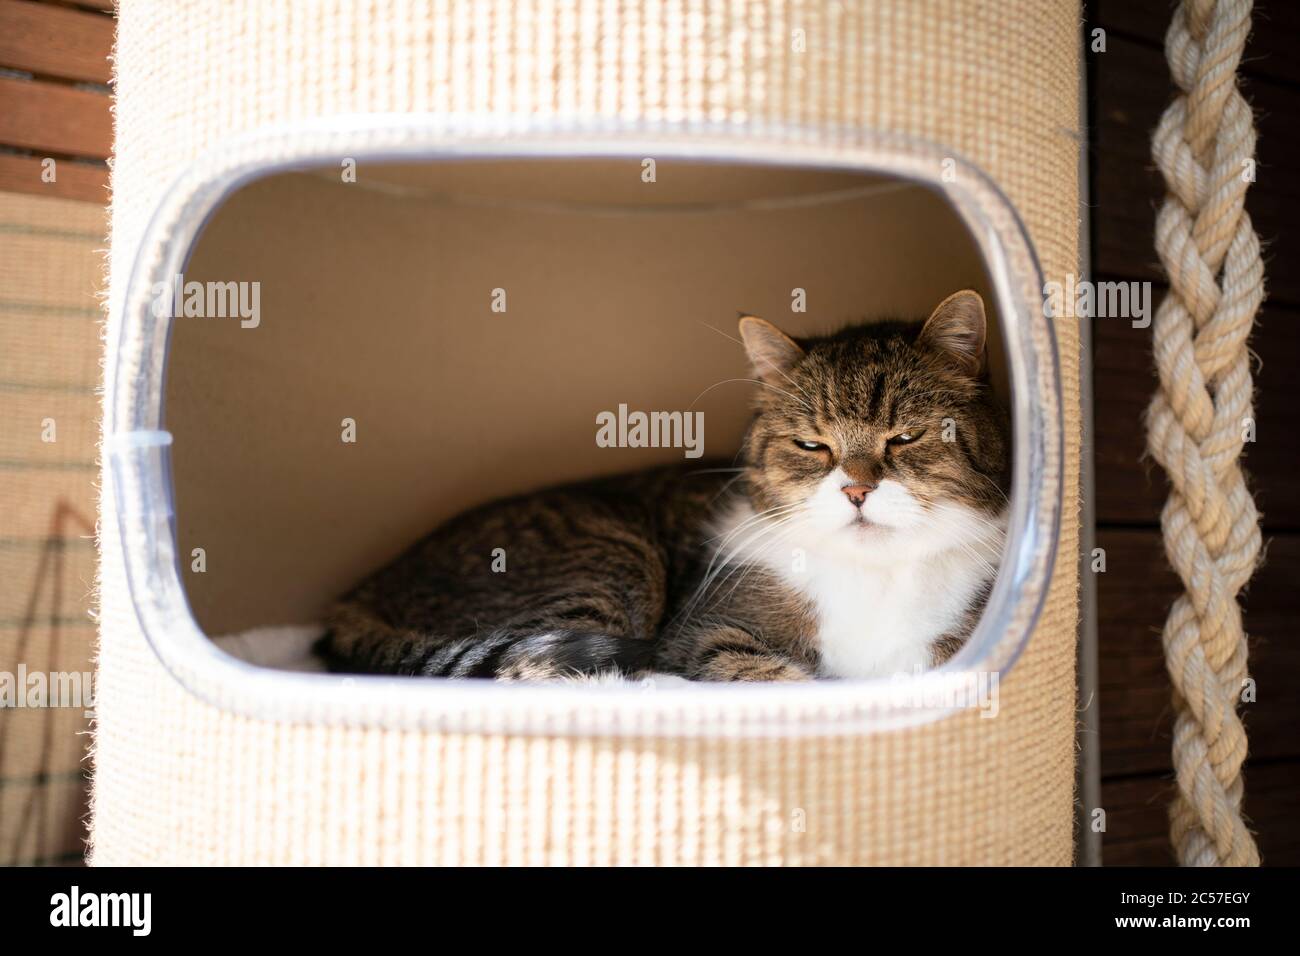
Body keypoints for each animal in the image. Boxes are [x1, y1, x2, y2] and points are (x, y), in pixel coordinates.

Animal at [319, 290, 1008, 681]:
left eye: (905, 438)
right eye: (812, 445)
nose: (857, 491)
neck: (876, 575)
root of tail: (358, 594)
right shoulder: (705, 631)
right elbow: (763, 674)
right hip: (609, 565)